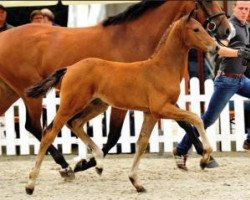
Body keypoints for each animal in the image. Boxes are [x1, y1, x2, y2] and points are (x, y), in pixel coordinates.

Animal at [0, 0, 229, 178]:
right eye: (207, 0)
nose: (227, 30)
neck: (134, 37)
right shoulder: (124, 103)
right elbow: (113, 136)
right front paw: (86, 163)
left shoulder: (157, 101)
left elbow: (186, 122)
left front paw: (203, 157)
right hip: (32, 95)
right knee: (36, 126)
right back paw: (65, 166)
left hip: (10, 92)